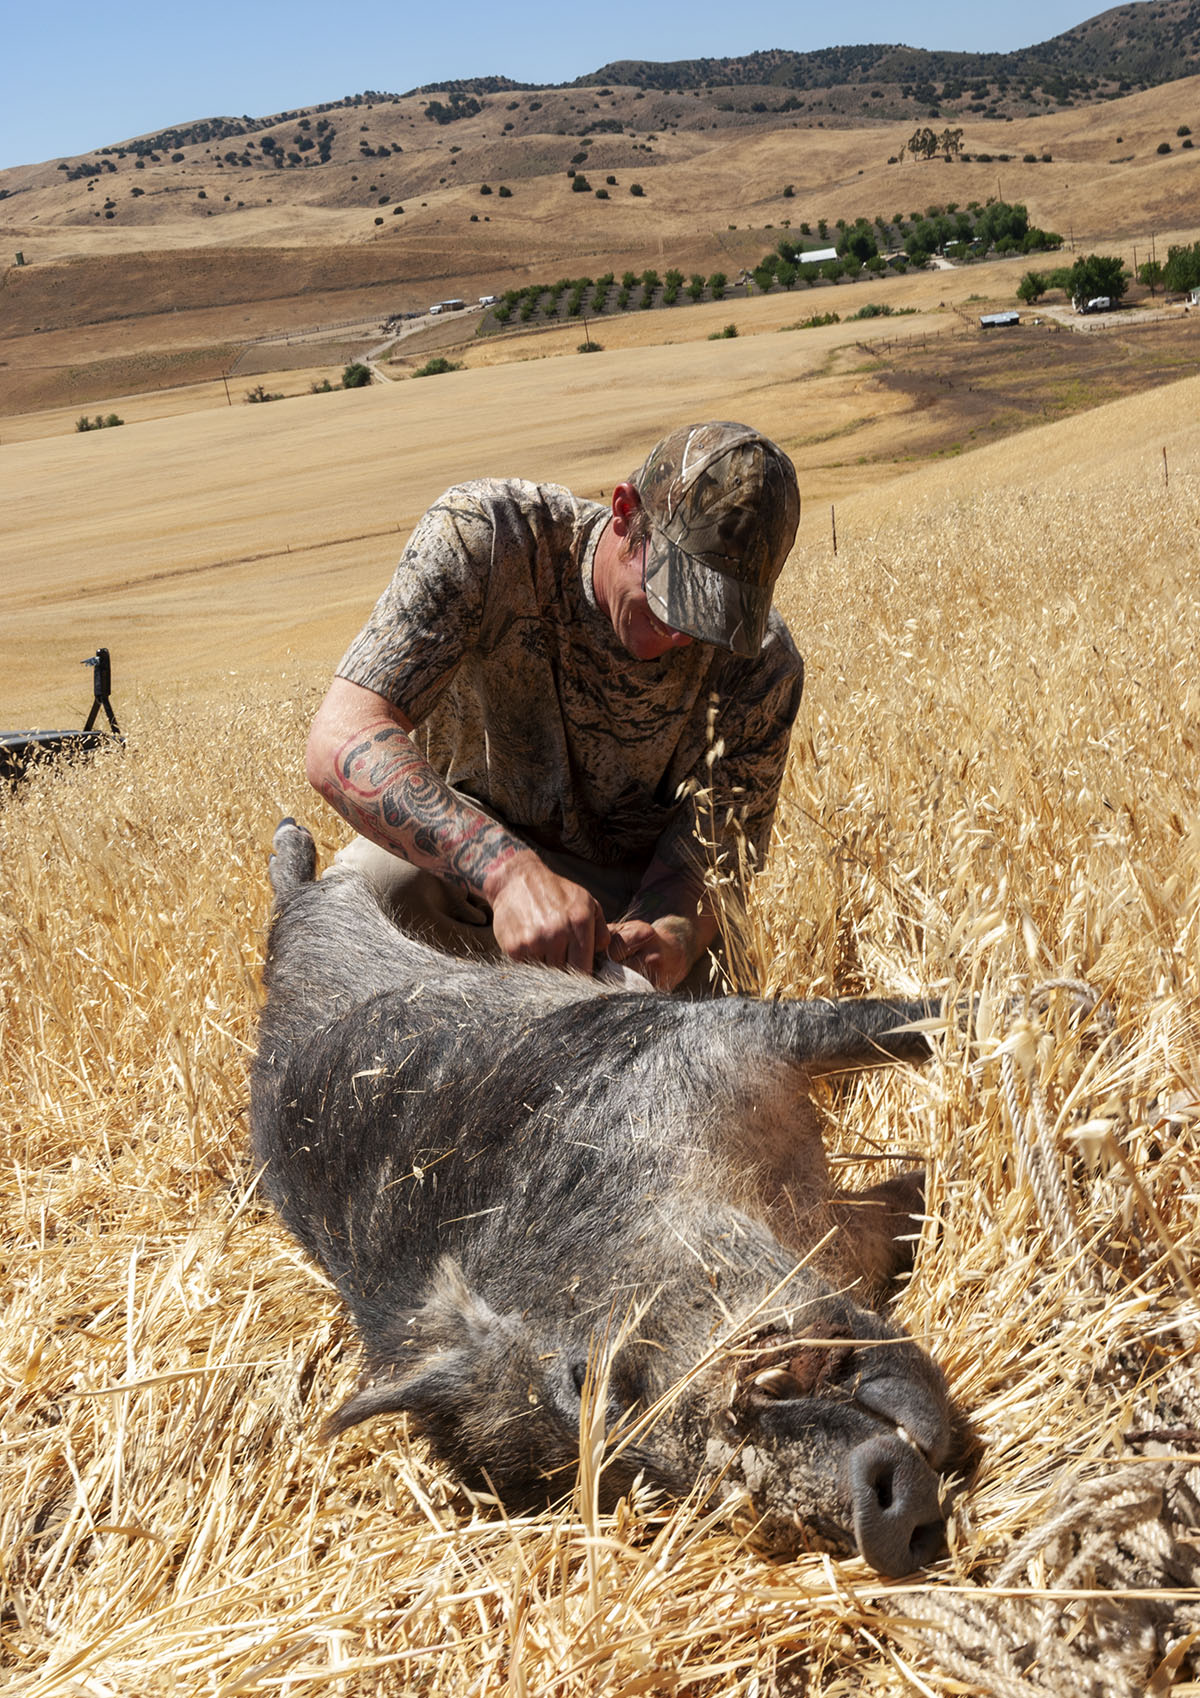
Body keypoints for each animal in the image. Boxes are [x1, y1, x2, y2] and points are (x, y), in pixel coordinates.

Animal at [251, 821, 957, 1575]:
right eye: (649, 1492)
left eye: (593, 1382)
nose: (874, 1519)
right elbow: (909, 1201)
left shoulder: (709, 1037)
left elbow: (890, 1024)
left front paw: (1000, 1010)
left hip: (341, 914)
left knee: (318, 884)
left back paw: (291, 838)